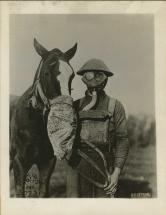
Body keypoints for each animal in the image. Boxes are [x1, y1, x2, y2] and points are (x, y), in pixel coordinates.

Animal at [10, 38, 77, 197]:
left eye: (72, 75)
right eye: (46, 73)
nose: (64, 116)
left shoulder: (47, 162)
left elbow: (43, 192)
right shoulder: (19, 162)